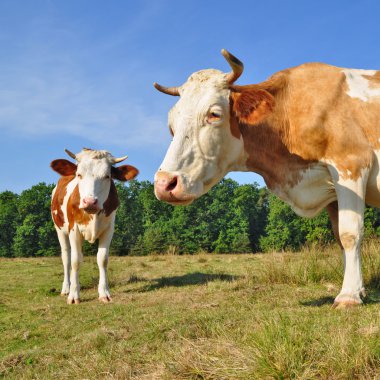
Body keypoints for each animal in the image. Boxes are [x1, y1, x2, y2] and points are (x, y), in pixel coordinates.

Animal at [50, 147, 138, 304]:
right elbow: (75, 261)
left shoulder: (109, 230)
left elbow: (102, 259)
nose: (90, 202)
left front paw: (104, 293)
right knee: (66, 257)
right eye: (79, 174)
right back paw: (66, 288)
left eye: (107, 176)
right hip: (59, 229)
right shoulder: (74, 230)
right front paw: (74, 295)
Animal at [153, 49, 380, 308]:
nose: (164, 183)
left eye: (214, 114)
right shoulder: (331, 189)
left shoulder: (351, 163)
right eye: (171, 124)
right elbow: (340, 237)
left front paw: (348, 296)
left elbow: (350, 233)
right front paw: (358, 289)